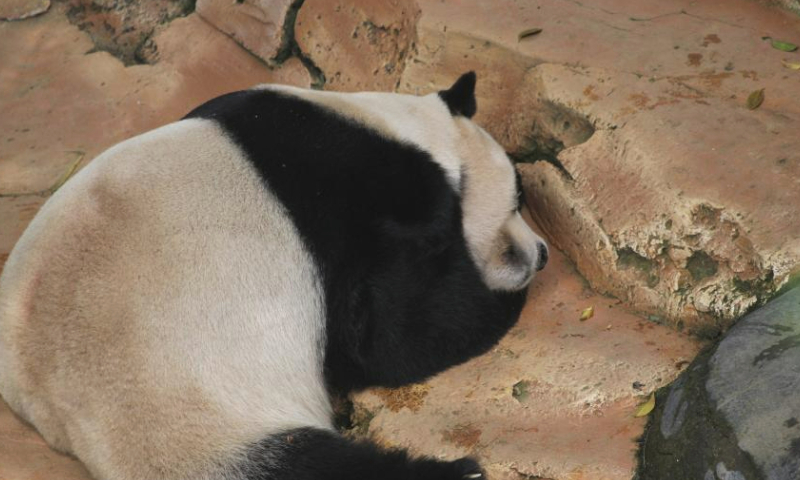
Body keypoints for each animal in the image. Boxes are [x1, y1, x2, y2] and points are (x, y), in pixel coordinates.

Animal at [0, 72, 548, 480]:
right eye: (519, 198)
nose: (541, 254)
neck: (405, 132)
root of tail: (66, 422)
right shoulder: (360, 207)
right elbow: (394, 342)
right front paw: (496, 301)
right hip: (196, 411)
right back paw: (459, 472)